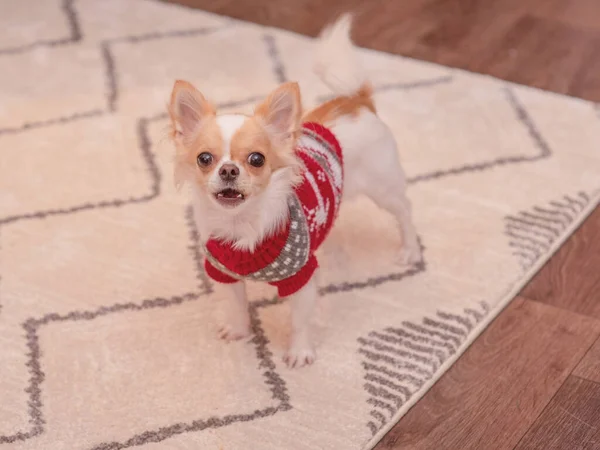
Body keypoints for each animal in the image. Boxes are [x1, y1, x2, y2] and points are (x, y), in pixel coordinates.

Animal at [164, 15, 420, 370]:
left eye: (256, 159)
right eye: (205, 159)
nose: (228, 170)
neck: (243, 224)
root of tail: (355, 101)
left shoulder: (301, 276)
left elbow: (299, 320)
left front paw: (299, 352)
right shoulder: (224, 272)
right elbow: (236, 304)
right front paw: (239, 330)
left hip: (383, 187)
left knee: (405, 210)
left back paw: (410, 249)